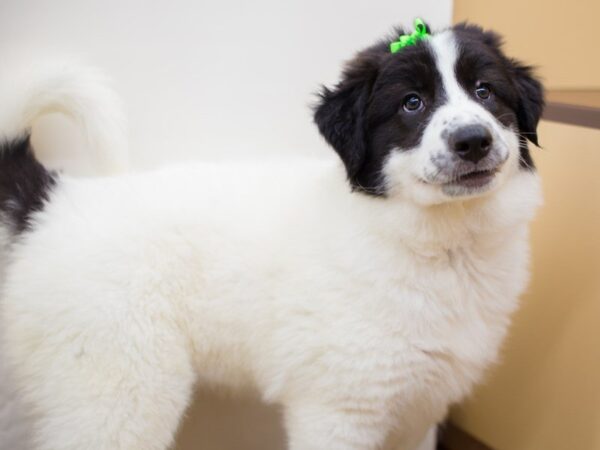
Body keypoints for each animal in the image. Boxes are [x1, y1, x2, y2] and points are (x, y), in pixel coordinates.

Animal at [0, 22, 544, 450]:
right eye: (412, 103)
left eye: (485, 92)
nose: (473, 140)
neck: (440, 245)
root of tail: (55, 203)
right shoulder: (339, 410)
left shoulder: (419, 409)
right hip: (118, 391)